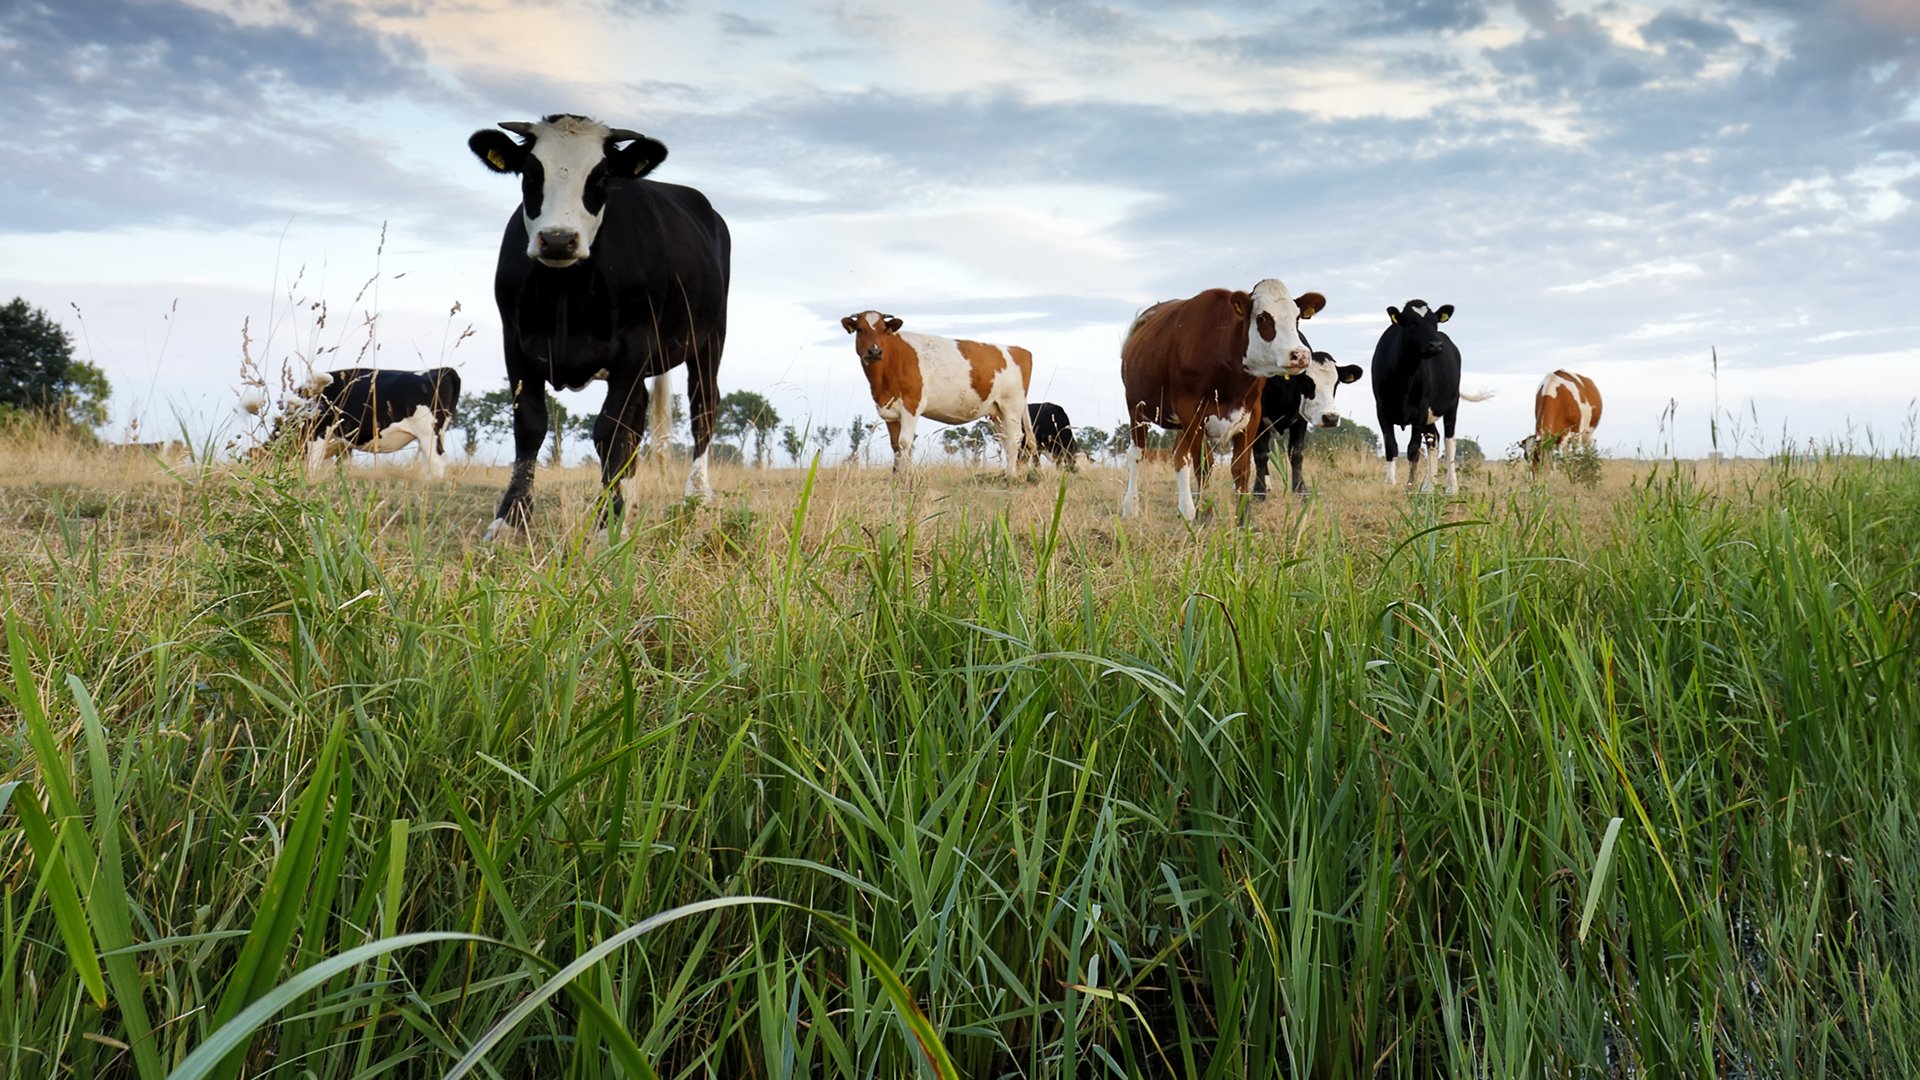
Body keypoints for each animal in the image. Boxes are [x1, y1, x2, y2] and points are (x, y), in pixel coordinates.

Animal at [468, 112, 729, 534]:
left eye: (602, 177)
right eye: (530, 172)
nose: (558, 240)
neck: (564, 296)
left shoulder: (635, 345)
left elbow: (610, 431)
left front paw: (608, 521)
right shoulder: (515, 342)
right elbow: (530, 425)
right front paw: (510, 519)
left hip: (710, 338)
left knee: (703, 408)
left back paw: (696, 500)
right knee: (639, 419)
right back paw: (633, 502)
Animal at [840, 307, 1036, 466]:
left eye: (883, 330)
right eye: (860, 329)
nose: (874, 351)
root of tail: (1019, 350)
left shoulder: (912, 404)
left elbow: (905, 443)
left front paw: (907, 478)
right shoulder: (889, 410)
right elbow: (896, 446)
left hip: (1012, 406)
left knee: (1015, 440)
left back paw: (1011, 477)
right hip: (997, 412)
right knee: (1006, 441)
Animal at [1121, 274, 1320, 515]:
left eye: (1297, 318)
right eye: (1262, 317)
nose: (1300, 355)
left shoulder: (1251, 415)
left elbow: (1241, 469)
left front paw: (1243, 517)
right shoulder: (1192, 413)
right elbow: (1203, 466)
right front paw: (1204, 515)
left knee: (1179, 456)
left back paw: (1186, 511)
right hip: (1136, 408)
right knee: (1137, 454)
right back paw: (1131, 508)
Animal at [1244, 349, 1367, 495]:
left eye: (1336, 384)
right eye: (1307, 383)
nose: (1331, 418)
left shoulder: (1301, 419)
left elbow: (1296, 453)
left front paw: (1301, 490)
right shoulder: (1258, 418)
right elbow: (1260, 453)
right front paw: (1259, 491)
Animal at [1374, 297, 1489, 491]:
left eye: (1435, 322)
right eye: (1412, 322)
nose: (1435, 345)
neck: (1403, 377)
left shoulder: (1420, 410)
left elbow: (1413, 449)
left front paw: (1410, 486)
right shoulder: (1382, 409)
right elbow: (1391, 446)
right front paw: (1389, 484)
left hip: (1452, 404)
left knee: (1449, 441)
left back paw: (1452, 487)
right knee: (1433, 440)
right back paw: (1430, 485)